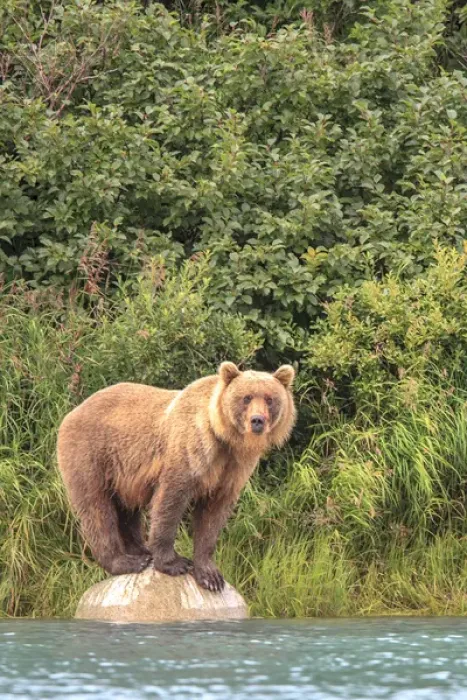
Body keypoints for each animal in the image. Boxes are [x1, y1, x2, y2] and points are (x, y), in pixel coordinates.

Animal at [57, 362, 296, 591]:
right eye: (246, 398)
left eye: (270, 399)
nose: (257, 420)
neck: (224, 439)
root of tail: (72, 413)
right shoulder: (191, 451)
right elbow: (170, 502)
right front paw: (174, 563)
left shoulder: (233, 470)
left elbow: (213, 516)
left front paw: (210, 575)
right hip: (91, 455)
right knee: (97, 509)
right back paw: (126, 561)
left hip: (122, 475)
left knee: (127, 510)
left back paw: (141, 551)